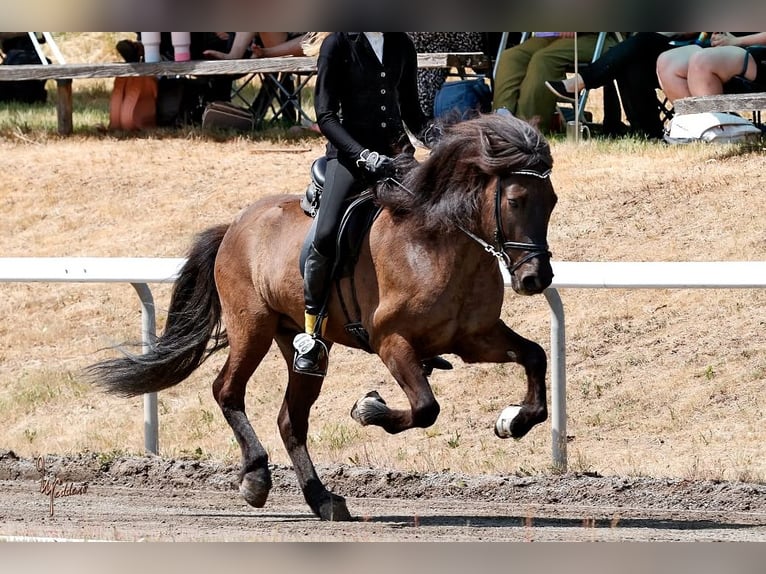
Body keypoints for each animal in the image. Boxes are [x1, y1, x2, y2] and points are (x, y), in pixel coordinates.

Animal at [86, 113, 558, 521]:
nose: (537, 277)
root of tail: (236, 225)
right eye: (516, 200)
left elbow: (535, 356)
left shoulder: (475, 338)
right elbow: (425, 408)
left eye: (551, 201)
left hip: (307, 344)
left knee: (290, 418)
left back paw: (322, 499)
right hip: (252, 327)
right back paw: (255, 478)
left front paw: (513, 421)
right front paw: (369, 409)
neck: (438, 245)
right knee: (227, 391)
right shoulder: (392, 342)